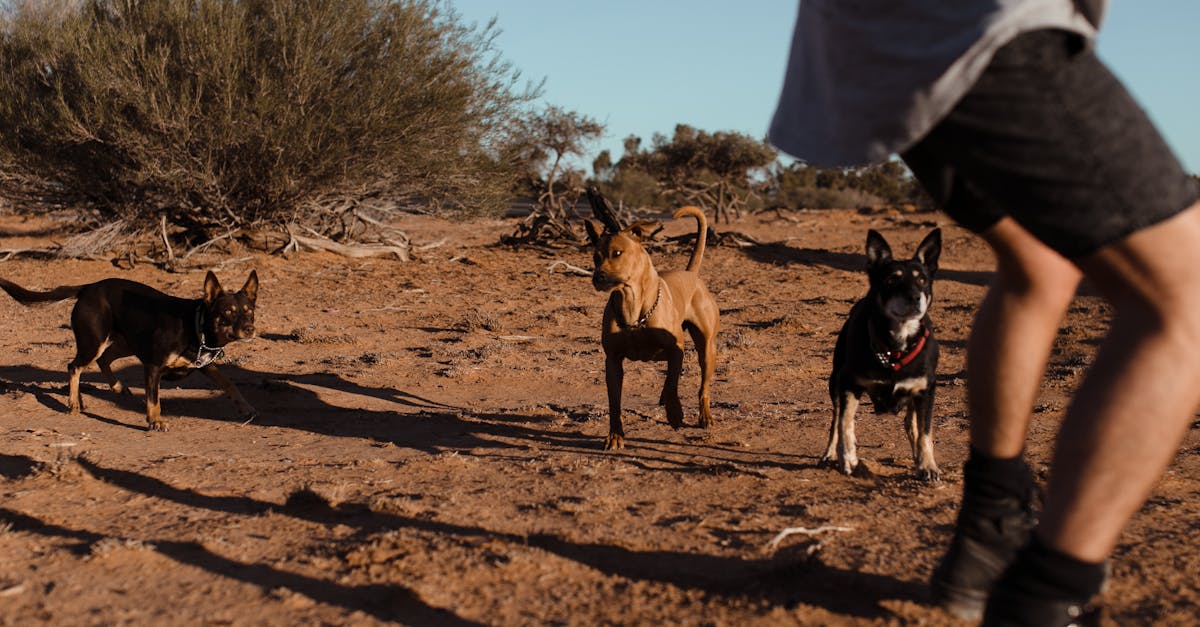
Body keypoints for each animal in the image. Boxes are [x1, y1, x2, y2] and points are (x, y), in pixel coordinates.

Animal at [583, 207, 715, 446]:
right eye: (595, 257)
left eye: (617, 253)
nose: (598, 277)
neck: (631, 304)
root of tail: (691, 273)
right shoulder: (613, 361)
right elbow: (614, 402)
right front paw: (615, 436)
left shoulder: (676, 348)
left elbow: (672, 383)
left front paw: (675, 413)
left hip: (707, 349)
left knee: (702, 386)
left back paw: (704, 416)